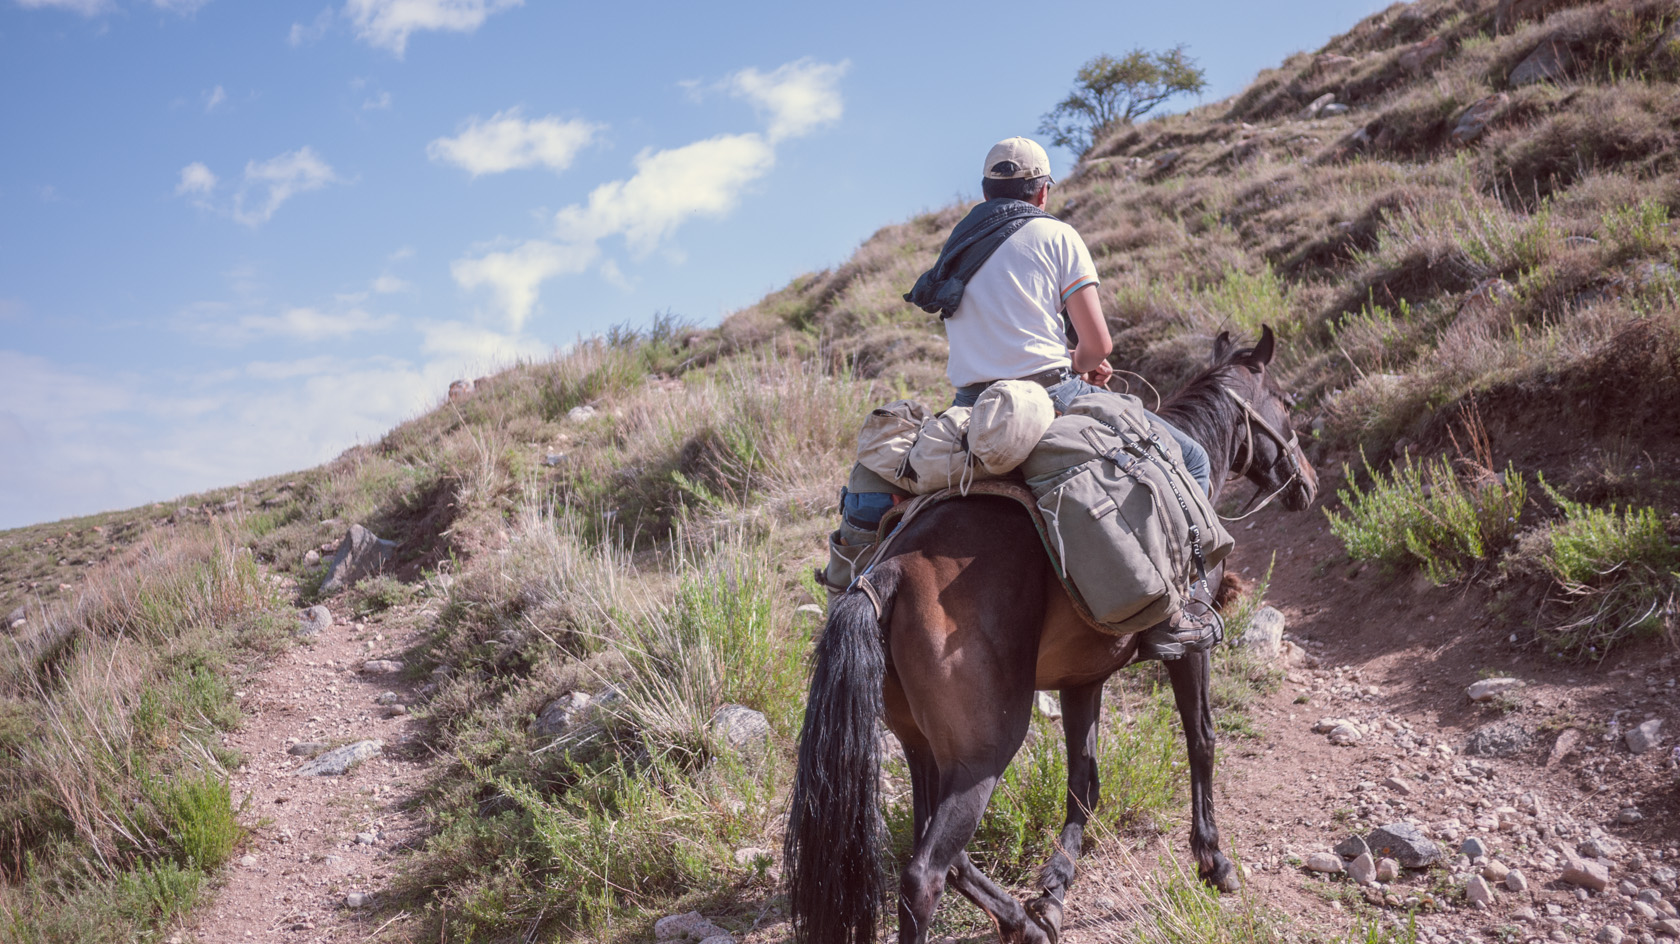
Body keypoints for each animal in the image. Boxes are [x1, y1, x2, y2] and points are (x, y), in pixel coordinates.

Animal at [779, 325, 1317, 940]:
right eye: (1287, 402)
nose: (1308, 483)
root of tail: (888, 572)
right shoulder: (1191, 648)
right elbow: (1201, 738)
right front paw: (1214, 861)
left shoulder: (1083, 679)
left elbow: (1083, 780)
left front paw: (1055, 887)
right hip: (984, 752)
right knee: (925, 873)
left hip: (922, 745)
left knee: (948, 857)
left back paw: (1027, 924)